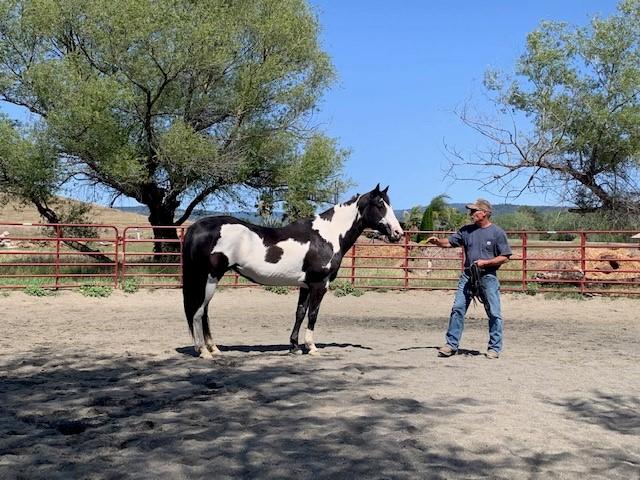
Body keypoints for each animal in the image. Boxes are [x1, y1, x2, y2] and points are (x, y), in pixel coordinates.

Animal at [180, 184, 402, 356]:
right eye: (380, 204)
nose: (398, 233)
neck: (327, 236)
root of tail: (196, 227)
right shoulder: (320, 284)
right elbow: (313, 314)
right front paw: (311, 347)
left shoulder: (305, 285)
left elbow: (300, 313)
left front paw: (294, 346)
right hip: (208, 278)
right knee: (198, 311)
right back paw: (203, 351)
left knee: (204, 312)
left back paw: (214, 348)